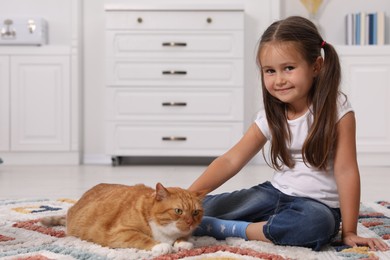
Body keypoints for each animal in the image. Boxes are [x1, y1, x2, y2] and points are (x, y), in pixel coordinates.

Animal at [42, 183, 206, 254]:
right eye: (178, 211)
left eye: (195, 212)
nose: (190, 223)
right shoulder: (119, 232)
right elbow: (141, 237)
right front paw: (161, 245)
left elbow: (183, 237)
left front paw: (183, 242)